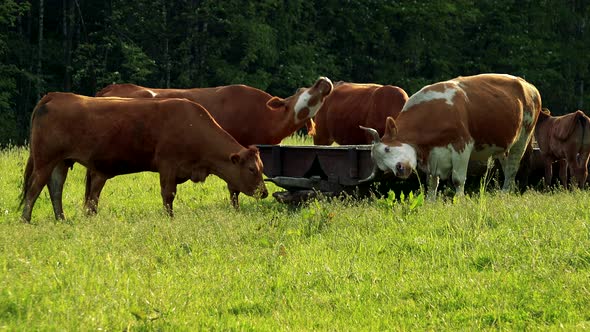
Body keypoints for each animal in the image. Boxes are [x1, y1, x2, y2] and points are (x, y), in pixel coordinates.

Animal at [18, 92, 268, 223]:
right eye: (252, 169)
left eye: (262, 167)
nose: (264, 192)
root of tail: (56, 96)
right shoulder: (168, 166)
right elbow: (168, 195)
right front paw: (170, 218)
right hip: (45, 160)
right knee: (34, 188)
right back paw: (26, 219)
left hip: (60, 162)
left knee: (55, 188)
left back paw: (61, 218)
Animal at [358, 74, 544, 198]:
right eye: (383, 167)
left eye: (387, 149)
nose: (399, 169)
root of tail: (528, 85)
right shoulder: (432, 156)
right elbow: (432, 183)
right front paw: (430, 203)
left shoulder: (462, 145)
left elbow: (458, 179)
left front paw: (459, 201)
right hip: (503, 144)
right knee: (507, 167)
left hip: (523, 137)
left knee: (513, 166)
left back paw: (505, 193)